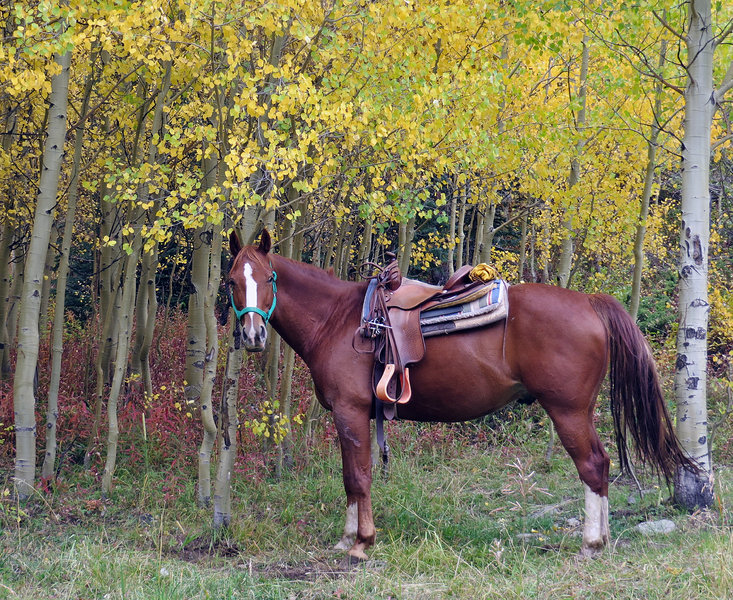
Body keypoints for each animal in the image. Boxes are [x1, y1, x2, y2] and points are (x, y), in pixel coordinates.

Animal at [226, 230, 696, 564]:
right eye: (231, 281)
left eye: (268, 278)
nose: (253, 335)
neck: (339, 321)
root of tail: (590, 302)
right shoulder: (351, 417)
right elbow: (349, 478)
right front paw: (346, 539)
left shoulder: (351, 412)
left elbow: (358, 477)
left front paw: (361, 543)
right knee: (601, 466)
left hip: (569, 411)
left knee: (594, 465)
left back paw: (591, 543)